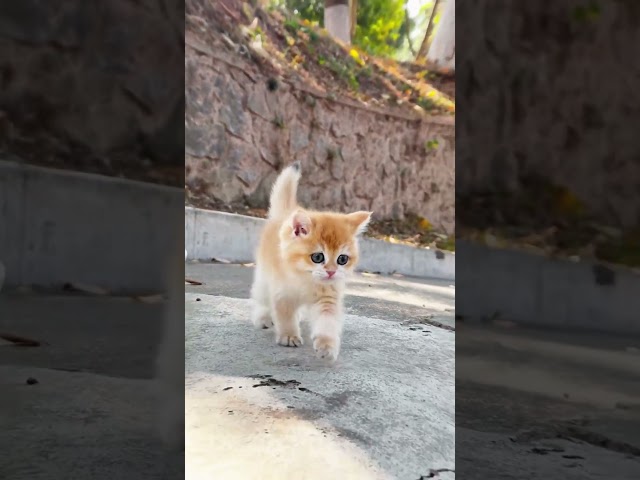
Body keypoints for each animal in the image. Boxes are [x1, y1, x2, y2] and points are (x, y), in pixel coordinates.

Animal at [250, 159, 370, 362]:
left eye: (342, 259)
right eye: (318, 257)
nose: (331, 271)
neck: (307, 280)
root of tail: (287, 212)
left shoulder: (328, 298)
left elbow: (327, 322)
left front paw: (326, 345)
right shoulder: (282, 293)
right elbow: (284, 315)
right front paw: (289, 335)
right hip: (264, 279)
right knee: (262, 297)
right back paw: (262, 317)